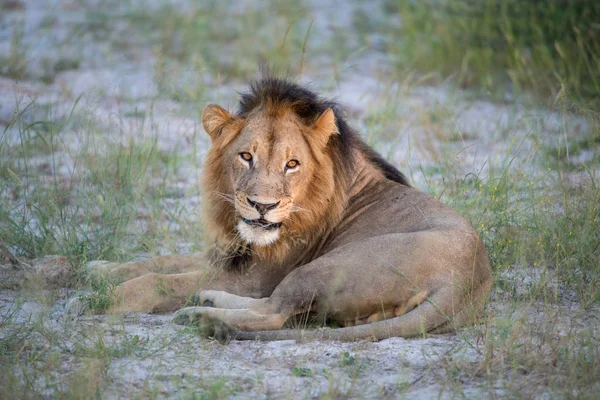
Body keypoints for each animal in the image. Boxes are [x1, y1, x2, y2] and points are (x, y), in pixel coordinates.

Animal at [99, 76, 492, 340]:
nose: (262, 206)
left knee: (273, 312)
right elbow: (158, 262)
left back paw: (201, 314)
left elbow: (161, 280)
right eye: (246, 156)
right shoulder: (227, 253)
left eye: (292, 164)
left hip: (326, 266)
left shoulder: (256, 277)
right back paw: (206, 302)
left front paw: (109, 296)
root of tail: (465, 282)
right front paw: (99, 269)